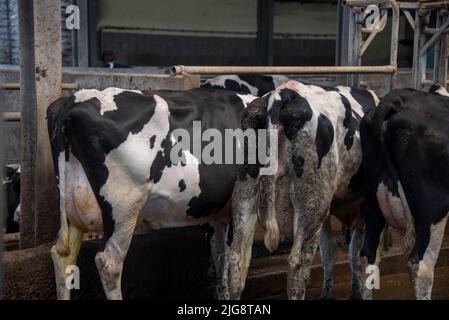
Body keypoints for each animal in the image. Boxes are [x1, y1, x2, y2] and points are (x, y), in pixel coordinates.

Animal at [47, 86, 258, 298]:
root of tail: (73, 100)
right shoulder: (243, 205)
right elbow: (238, 266)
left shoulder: (219, 216)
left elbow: (220, 260)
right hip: (123, 208)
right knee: (109, 263)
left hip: (71, 209)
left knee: (64, 257)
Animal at [228, 80, 378, 300]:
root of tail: (283, 93)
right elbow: (362, 258)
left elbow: (332, 252)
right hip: (312, 205)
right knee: (298, 264)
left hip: (246, 191)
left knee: (237, 258)